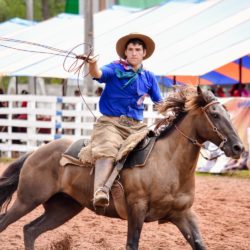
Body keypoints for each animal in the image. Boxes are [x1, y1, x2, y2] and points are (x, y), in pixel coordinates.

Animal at [0, 86, 243, 250]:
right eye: (214, 115)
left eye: (229, 115)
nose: (238, 147)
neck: (169, 164)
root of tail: (36, 151)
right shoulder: (137, 210)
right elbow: (131, 244)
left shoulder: (183, 214)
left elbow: (200, 244)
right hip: (27, 200)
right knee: (7, 224)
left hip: (63, 208)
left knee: (30, 230)